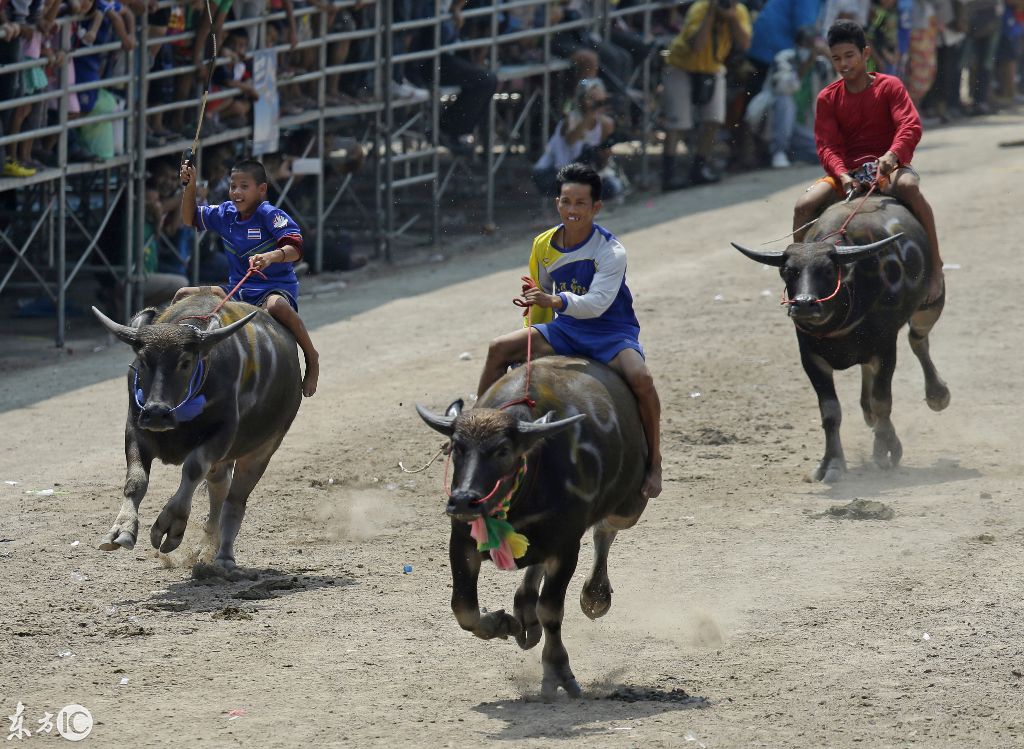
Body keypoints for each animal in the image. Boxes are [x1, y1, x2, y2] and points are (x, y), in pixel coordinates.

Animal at [92, 293, 301, 569]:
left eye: (185, 362)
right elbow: (136, 481)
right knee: (220, 487)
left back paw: (223, 557)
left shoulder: (223, 433)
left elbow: (193, 469)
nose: (157, 412)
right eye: (144, 360)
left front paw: (171, 525)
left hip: (263, 449)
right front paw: (121, 529)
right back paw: (206, 548)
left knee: (235, 500)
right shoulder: (136, 428)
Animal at [415, 354, 647, 700]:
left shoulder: (566, 547)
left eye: (502, 450)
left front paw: (558, 672)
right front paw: (503, 624)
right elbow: (463, 608)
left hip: (630, 505)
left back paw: (595, 595)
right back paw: (524, 613)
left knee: (605, 530)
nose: (463, 501)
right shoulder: (462, 542)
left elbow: (551, 610)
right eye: (456, 447)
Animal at [733, 193, 946, 483]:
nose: (804, 304)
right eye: (788, 271)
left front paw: (885, 451)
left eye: (827, 270)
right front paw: (831, 464)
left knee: (918, 341)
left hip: (931, 304)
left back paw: (937, 394)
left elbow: (883, 402)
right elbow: (831, 412)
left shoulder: (885, 347)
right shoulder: (811, 358)